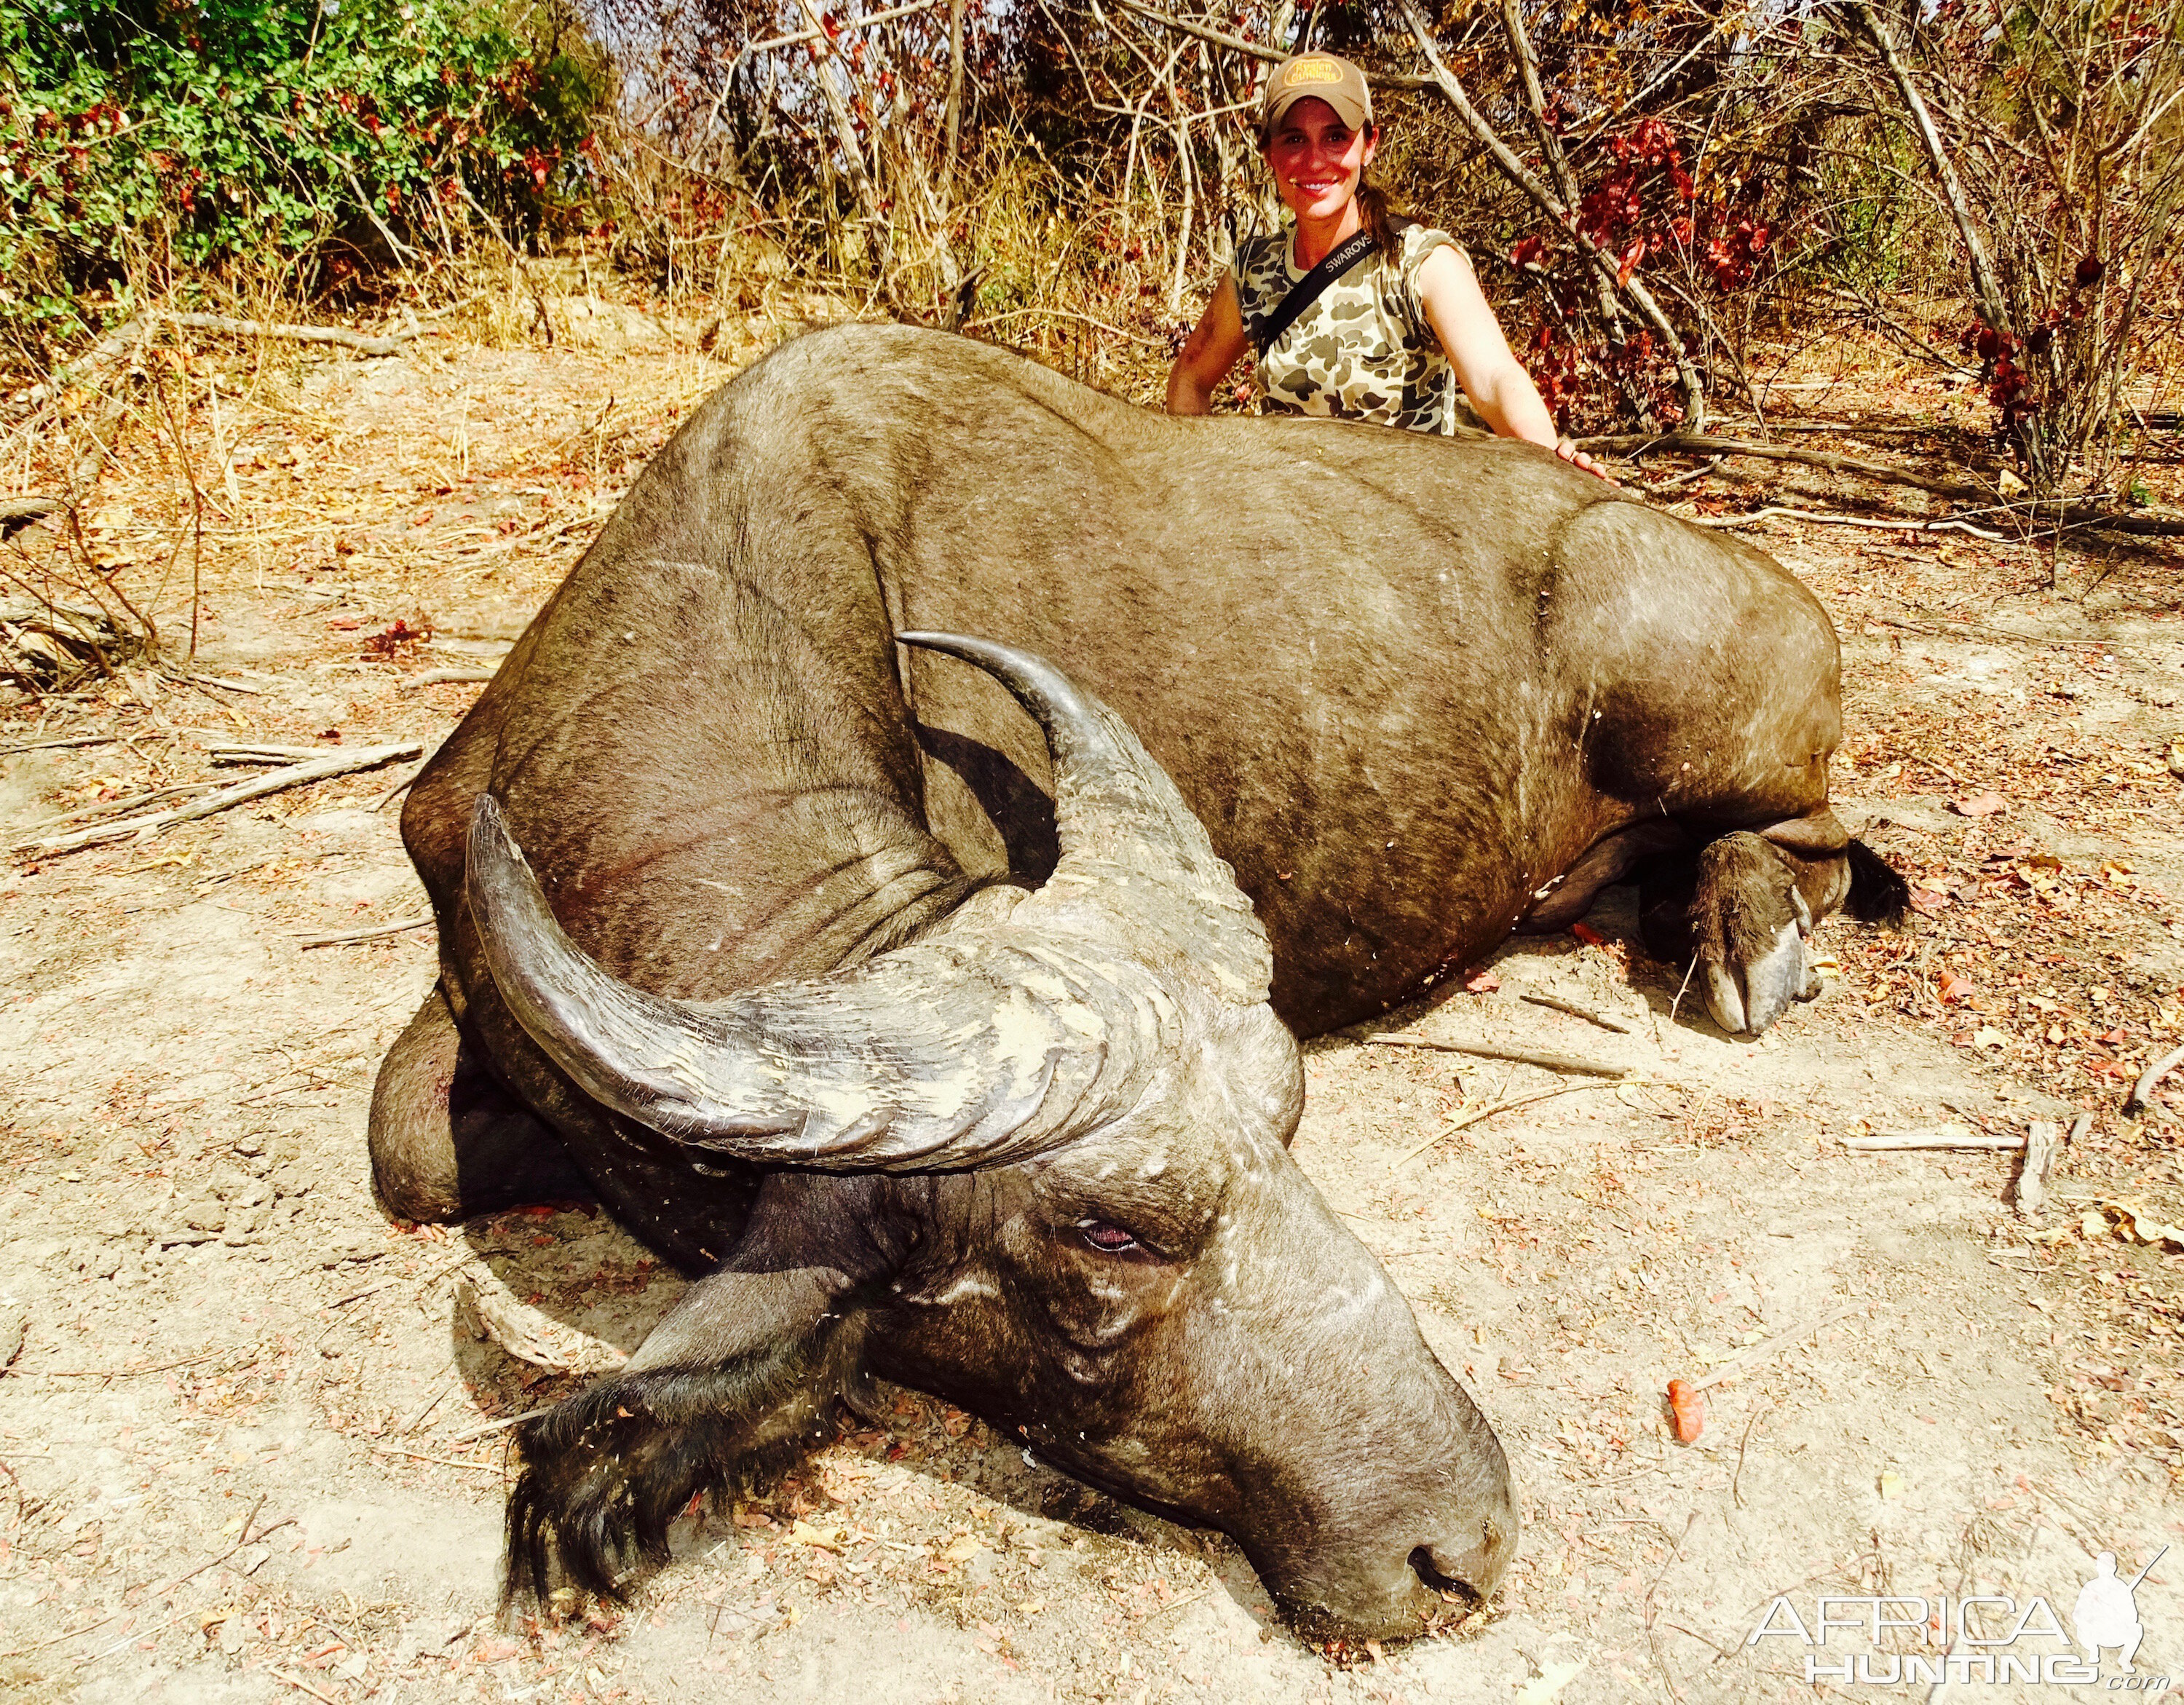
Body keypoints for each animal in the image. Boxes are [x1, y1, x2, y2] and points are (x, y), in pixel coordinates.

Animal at [367, 318, 1904, 1633]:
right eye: (1110, 1233)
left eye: (1290, 1127)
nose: (1456, 1546)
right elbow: (410, 1154)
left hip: (1711, 740)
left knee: (1819, 840)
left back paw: (1745, 931)